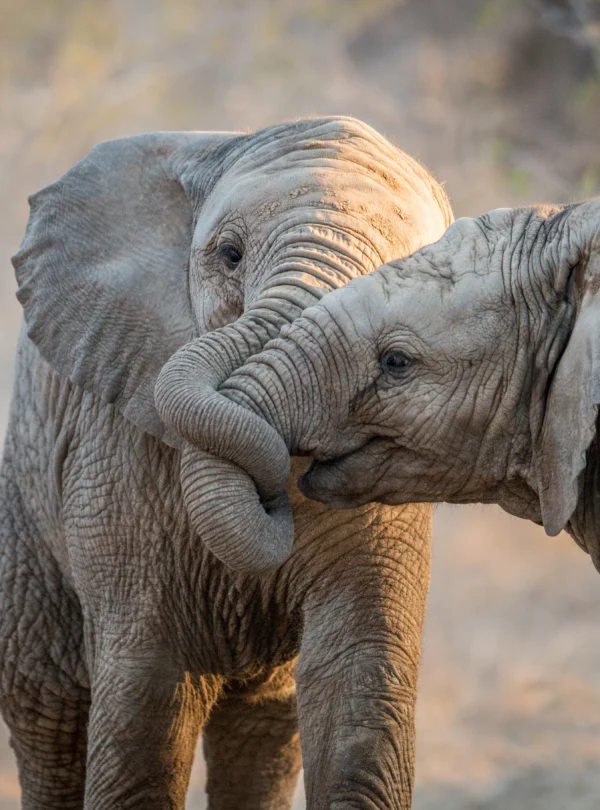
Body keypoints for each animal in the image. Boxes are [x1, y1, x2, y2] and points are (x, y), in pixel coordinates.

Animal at [2, 116, 452, 809]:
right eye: (230, 256)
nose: (273, 495)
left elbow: (359, 680)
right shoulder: (112, 458)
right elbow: (147, 698)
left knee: (263, 730)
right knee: (50, 716)